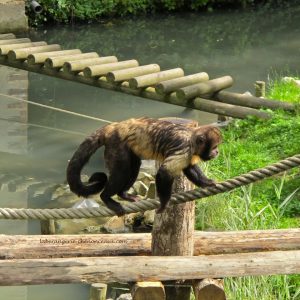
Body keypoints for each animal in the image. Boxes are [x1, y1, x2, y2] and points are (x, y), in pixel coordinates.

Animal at [68, 117, 223, 216]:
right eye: (214, 147)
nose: (217, 152)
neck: (191, 138)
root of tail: (114, 126)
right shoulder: (184, 148)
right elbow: (164, 172)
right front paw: (164, 203)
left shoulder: (189, 153)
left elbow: (189, 168)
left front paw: (207, 182)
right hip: (116, 144)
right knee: (122, 170)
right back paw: (106, 197)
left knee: (134, 166)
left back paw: (123, 194)